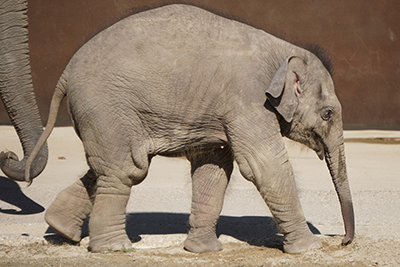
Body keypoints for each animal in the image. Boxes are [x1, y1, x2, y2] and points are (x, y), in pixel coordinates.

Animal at [27, 4, 354, 255]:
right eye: (327, 114)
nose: (343, 241)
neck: (283, 52)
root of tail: (66, 73)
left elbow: (214, 169)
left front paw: (203, 251)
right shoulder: (248, 101)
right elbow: (265, 165)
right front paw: (308, 249)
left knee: (106, 167)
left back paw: (61, 228)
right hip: (105, 108)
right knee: (125, 169)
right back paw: (113, 248)